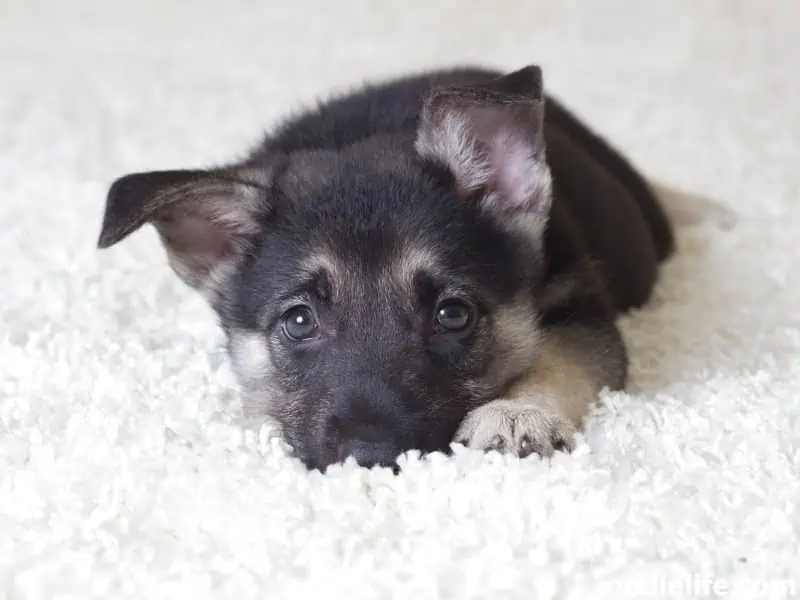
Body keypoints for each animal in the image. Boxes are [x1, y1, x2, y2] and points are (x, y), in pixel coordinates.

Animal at [94, 64, 680, 468]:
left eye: (452, 315)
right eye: (299, 320)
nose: (370, 458)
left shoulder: (579, 303)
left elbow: (560, 355)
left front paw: (517, 413)